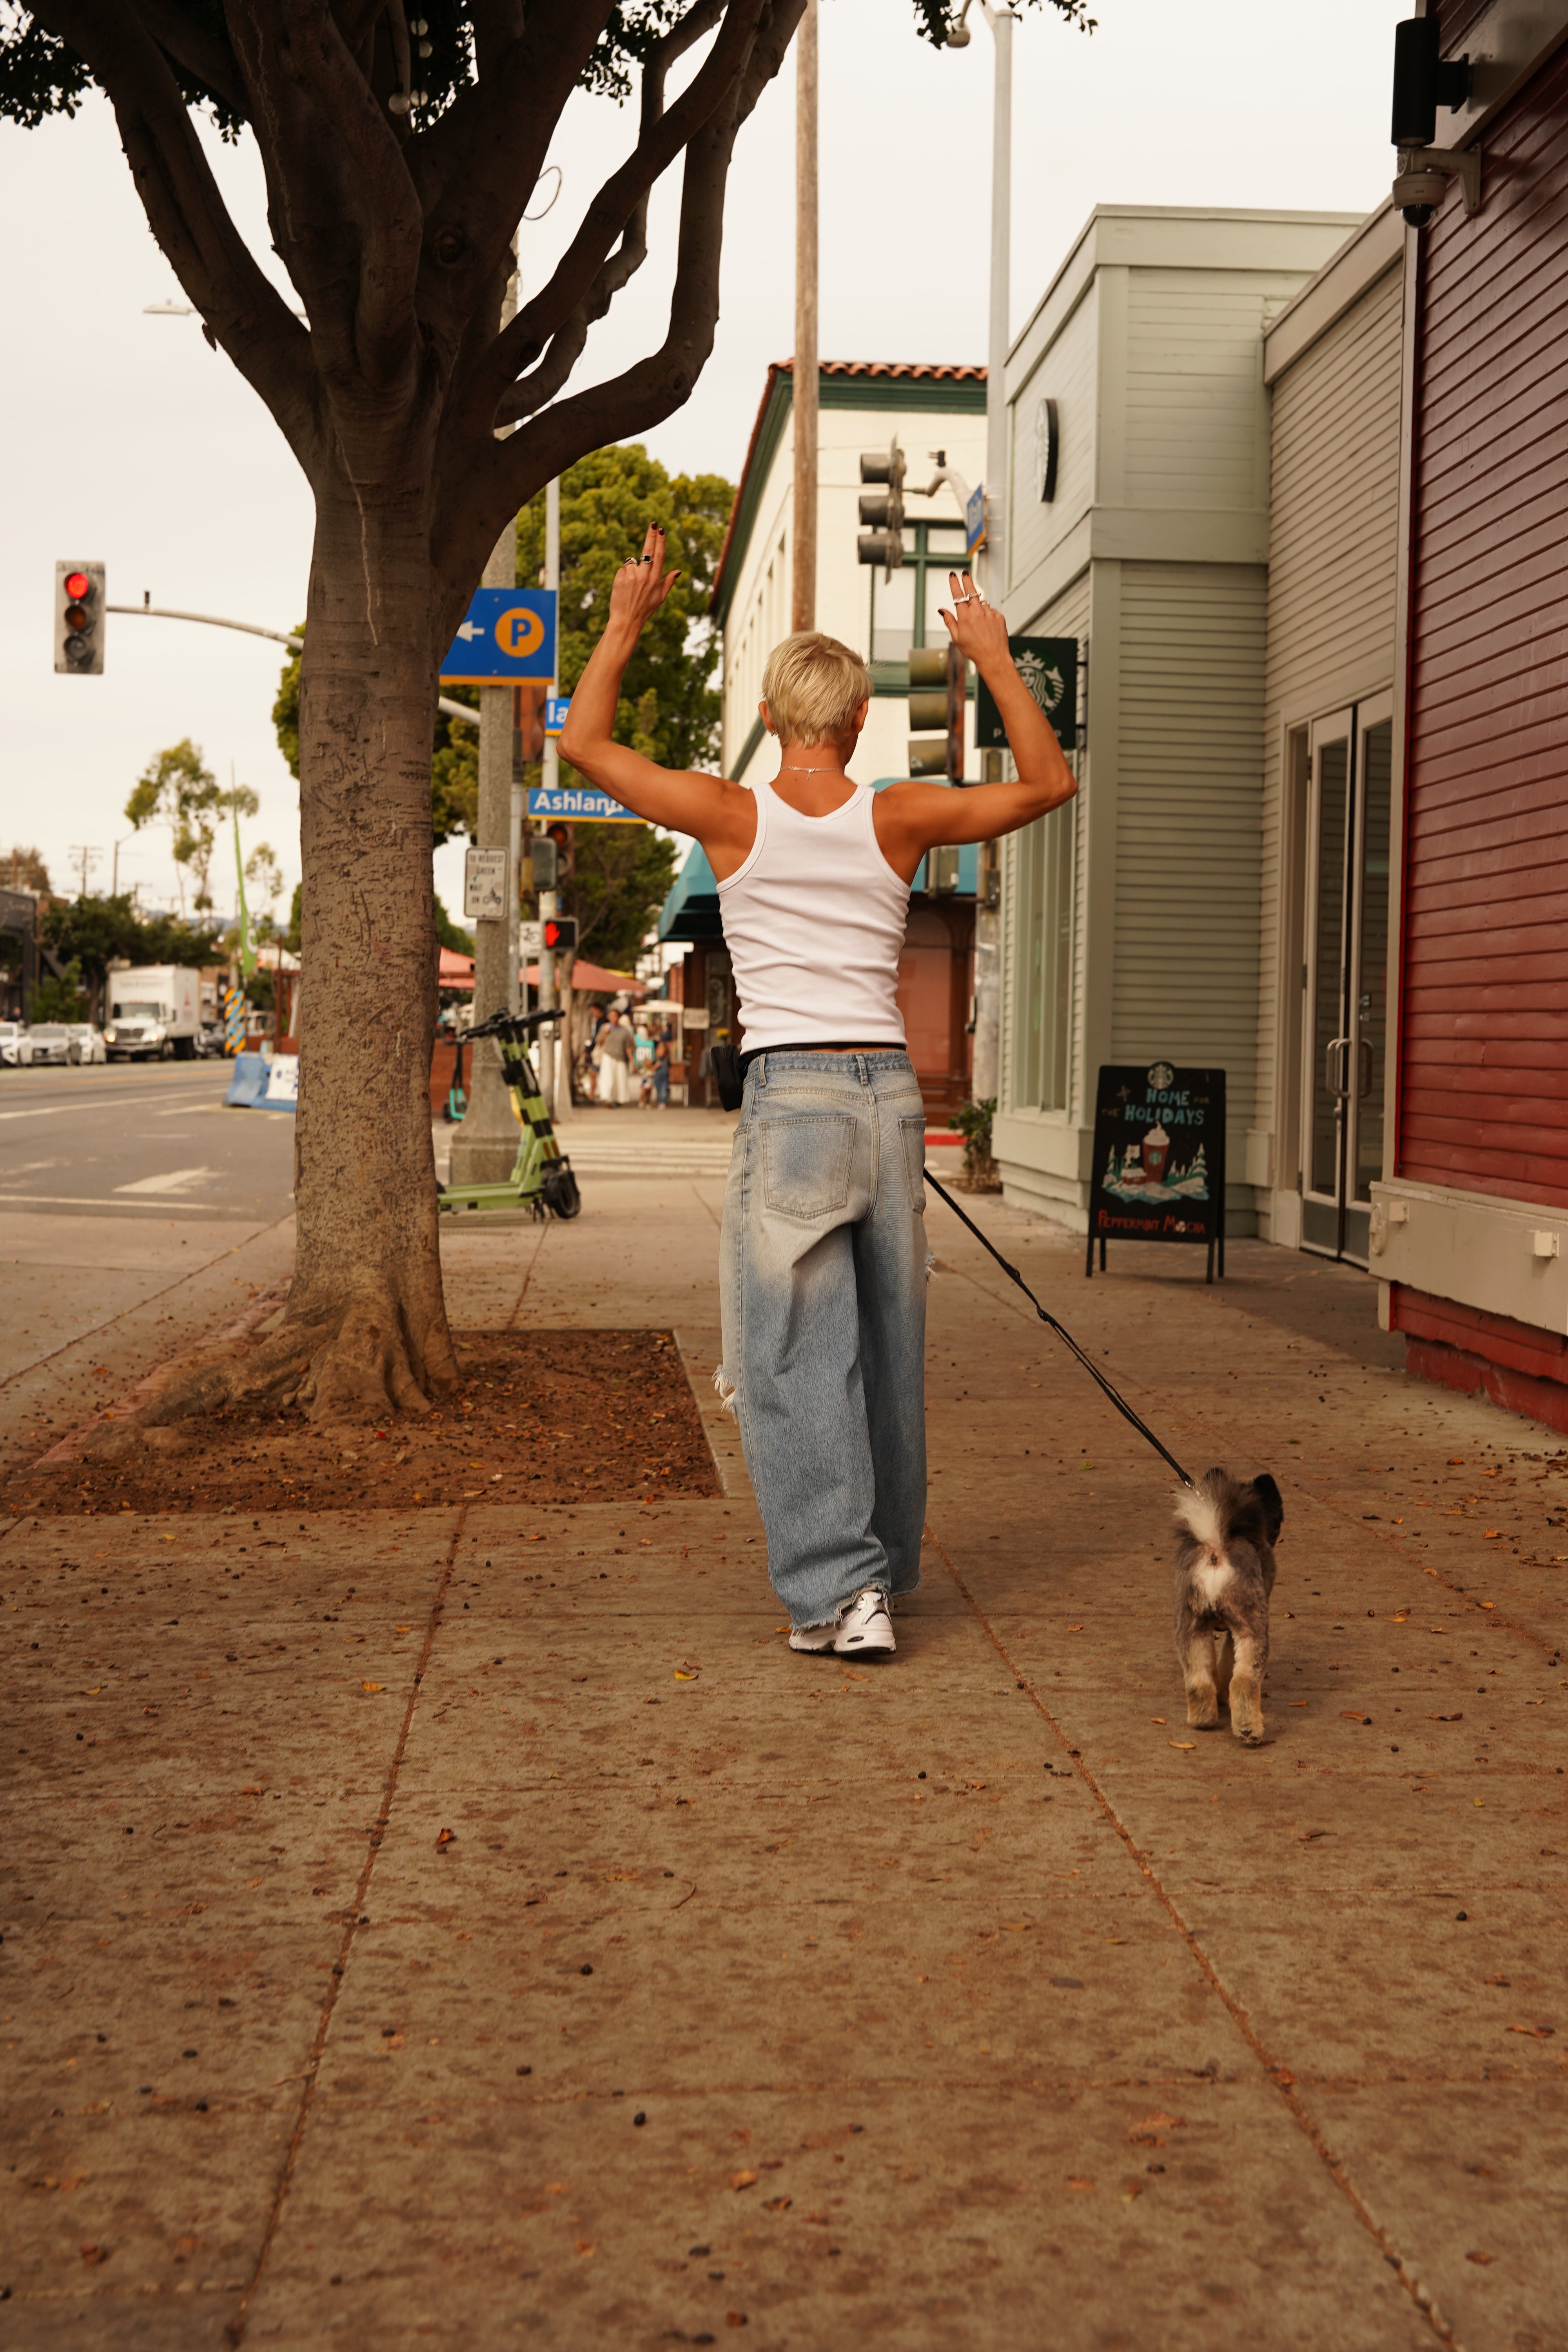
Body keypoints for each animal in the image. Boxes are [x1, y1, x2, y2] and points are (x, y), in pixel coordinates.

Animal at [1171, 1468, 1279, 1750]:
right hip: (1251, 1629)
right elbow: (1227, 1660)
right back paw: (1249, 1729)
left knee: (1198, 1679)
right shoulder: (1235, 1632)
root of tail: (1216, 1549)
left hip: (1190, 1628)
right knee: (1243, 1681)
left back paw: (1203, 1719)